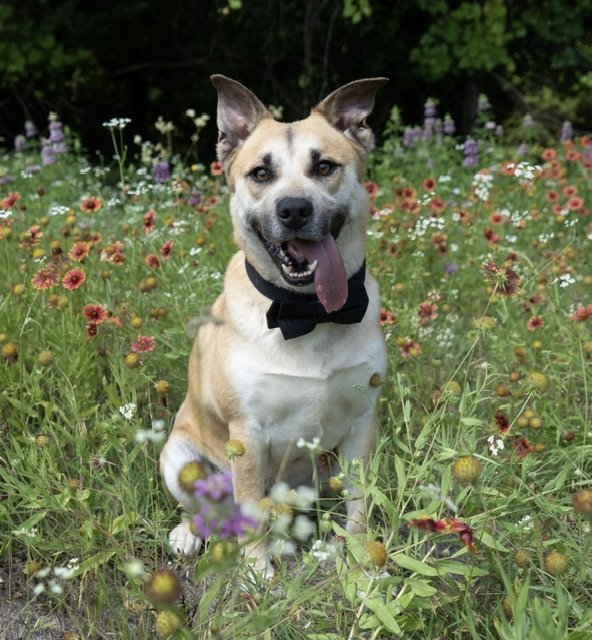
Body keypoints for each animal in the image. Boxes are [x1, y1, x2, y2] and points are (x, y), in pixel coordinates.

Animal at [160, 74, 388, 576]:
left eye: (324, 166)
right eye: (261, 174)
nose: (294, 209)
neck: (307, 311)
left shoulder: (362, 424)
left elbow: (360, 507)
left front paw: (360, 566)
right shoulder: (248, 435)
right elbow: (249, 510)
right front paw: (257, 572)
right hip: (178, 458)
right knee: (200, 508)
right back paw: (188, 534)